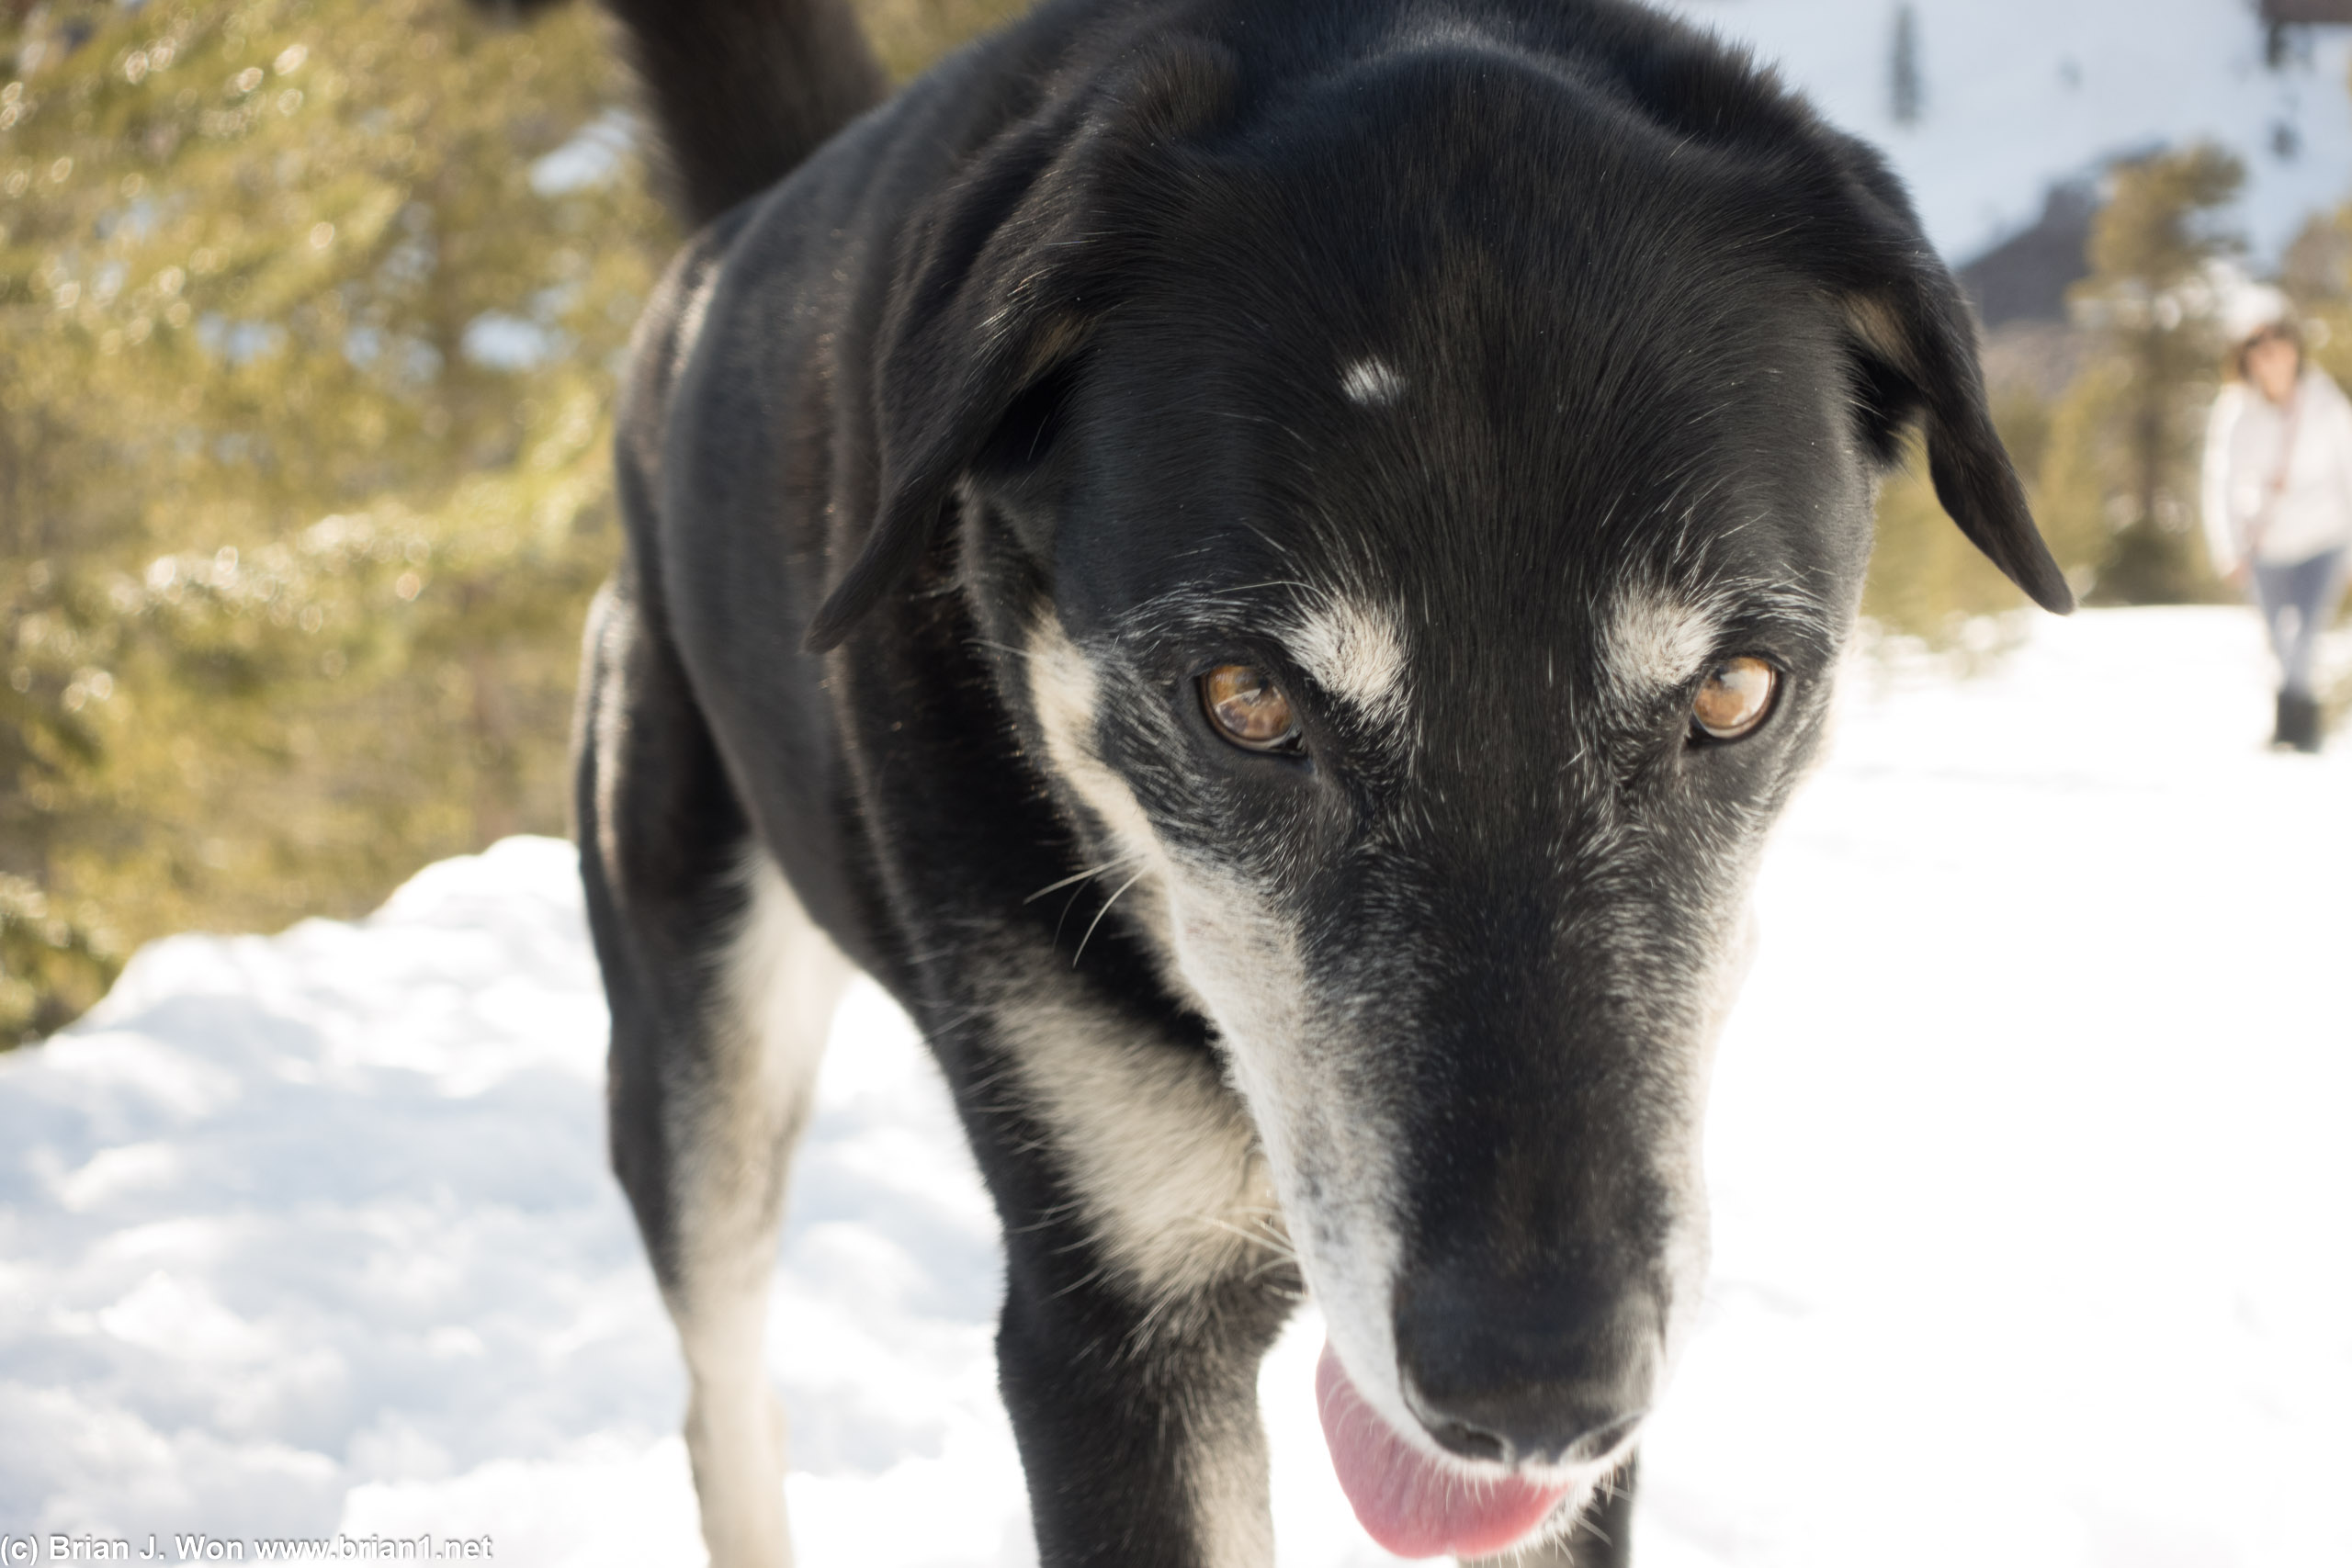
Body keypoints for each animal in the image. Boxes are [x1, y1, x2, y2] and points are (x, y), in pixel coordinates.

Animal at [564, 6, 2060, 1561]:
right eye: (1246, 700)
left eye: (1733, 689)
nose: (1538, 1383)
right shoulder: (1113, 1332)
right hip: (695, 1061)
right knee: (725, 1390)